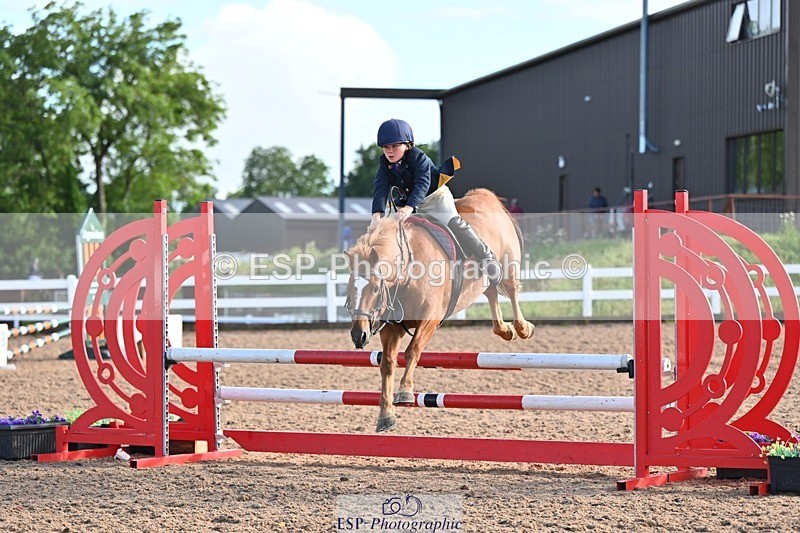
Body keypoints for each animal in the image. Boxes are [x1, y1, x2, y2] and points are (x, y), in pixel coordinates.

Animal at [344, 188, 535, 432]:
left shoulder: (429, 318)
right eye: (349, 289)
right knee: (491, 292)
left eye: (376, 288)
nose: (358, 335)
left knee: (510, 290)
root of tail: (484, 196)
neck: (407, 269)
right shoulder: (392, 328)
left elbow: (412, 351)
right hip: (483, 282)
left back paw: (522, 328)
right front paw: (386, 415)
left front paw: (405, 392)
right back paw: (504, 329)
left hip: (509, 265)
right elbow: (387, 363)